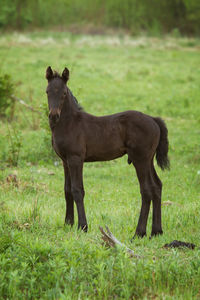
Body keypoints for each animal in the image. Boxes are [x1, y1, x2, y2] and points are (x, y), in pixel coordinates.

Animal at [46, 67, 170, 238]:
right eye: (47, 91)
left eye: (64, 93)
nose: (53, 116)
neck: (69, 123)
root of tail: (153, 119)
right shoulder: (65, 161)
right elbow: (67, 190)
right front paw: (68, 223)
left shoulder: (76, 159)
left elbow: (77, 190)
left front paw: (83, 226)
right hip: (148, 159)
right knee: (157, 186)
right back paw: (156, 231)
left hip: (140, 159)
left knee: (147, 190)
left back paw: (139, 233)